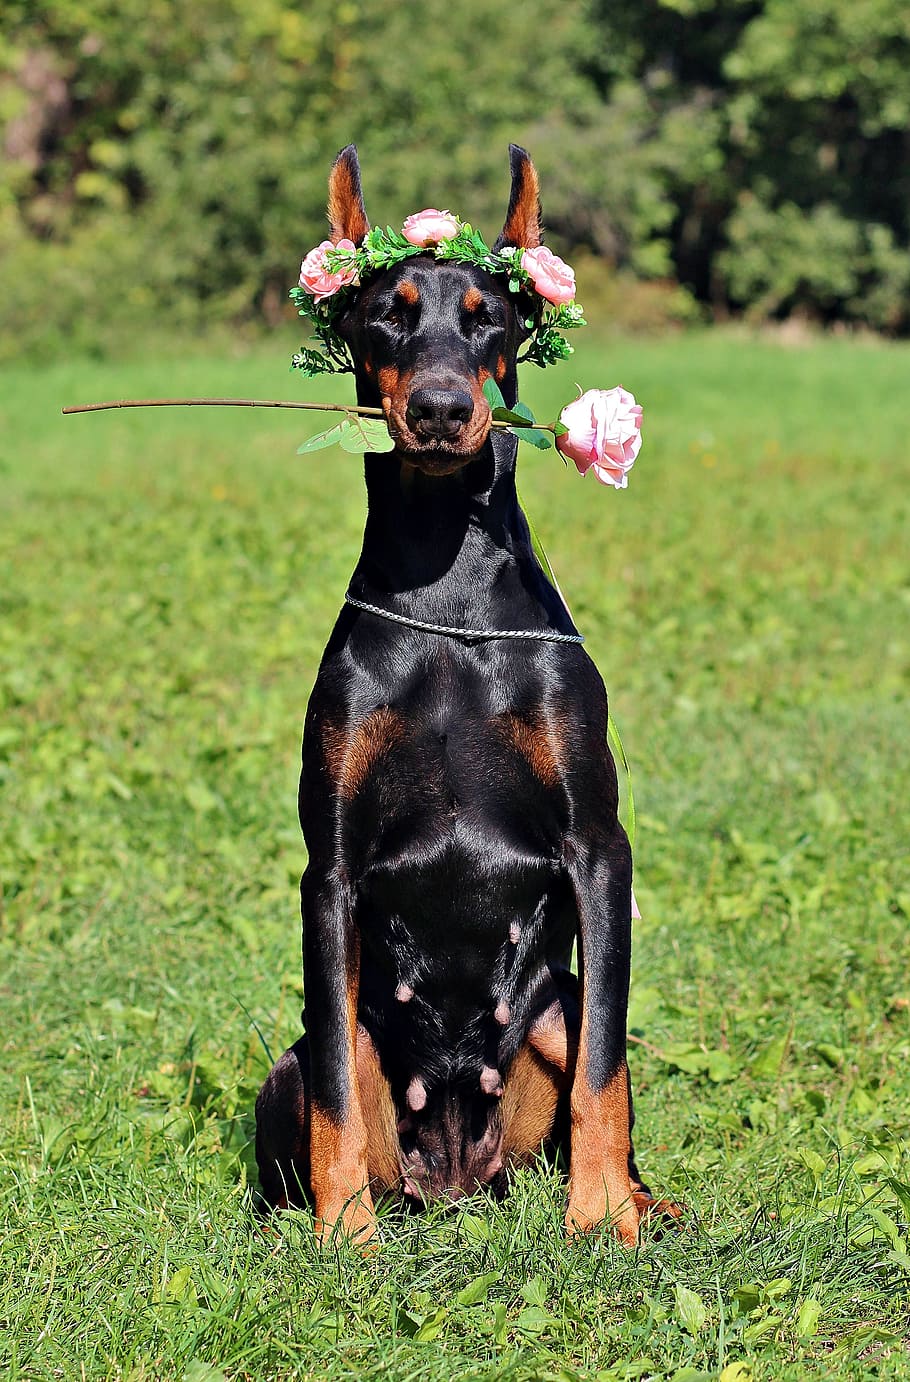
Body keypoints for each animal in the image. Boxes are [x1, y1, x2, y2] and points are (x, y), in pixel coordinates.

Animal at [254, 145, 666, 1249]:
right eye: (385, 314)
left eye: (490, 317)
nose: (440, 408)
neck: (447, 583)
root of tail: (453, 1179)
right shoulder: (330, 870)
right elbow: (335, 1089)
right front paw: (342, 1235)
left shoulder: (597, 846)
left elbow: (605, 1071)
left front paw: (600, 1219)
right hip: (295, 1058)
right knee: (319, 1077)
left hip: (552, 1009)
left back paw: (645, 1201)